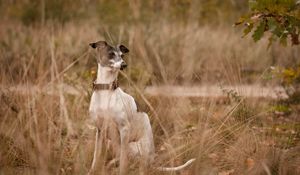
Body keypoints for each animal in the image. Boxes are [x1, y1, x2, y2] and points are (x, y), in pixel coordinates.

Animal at [87, 40, 195, 174]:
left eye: (122, 55)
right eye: (111, 54)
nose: (124, 64)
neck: (106, 90)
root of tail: (152, 163)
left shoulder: (124, 129)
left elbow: (123, 161)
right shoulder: (100, 130)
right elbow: (96, 156)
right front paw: (92, 171)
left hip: (133, 146)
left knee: (134, 163)